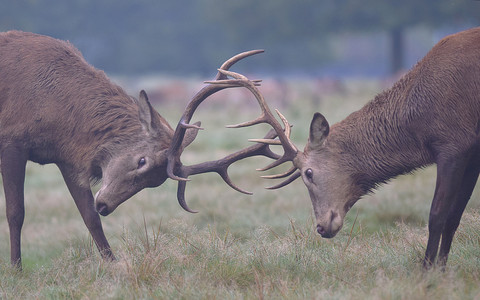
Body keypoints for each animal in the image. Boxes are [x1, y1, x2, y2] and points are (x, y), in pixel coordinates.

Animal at [0, 31, 278, 270]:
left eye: (154, 183)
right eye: (142, 160)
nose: (105, 205)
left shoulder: (68, 158)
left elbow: (89, 217)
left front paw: (113, 264)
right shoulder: (11, 140)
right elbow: (16, 213)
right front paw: (16, 269)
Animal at [208, 27, 480, 268]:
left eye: (308, 173)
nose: (320, 227)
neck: (420, 122)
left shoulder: (453, 142)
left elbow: (438, 215)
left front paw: (426, 271)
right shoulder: (471, 150)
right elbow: (454, 216)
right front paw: (441, 270)